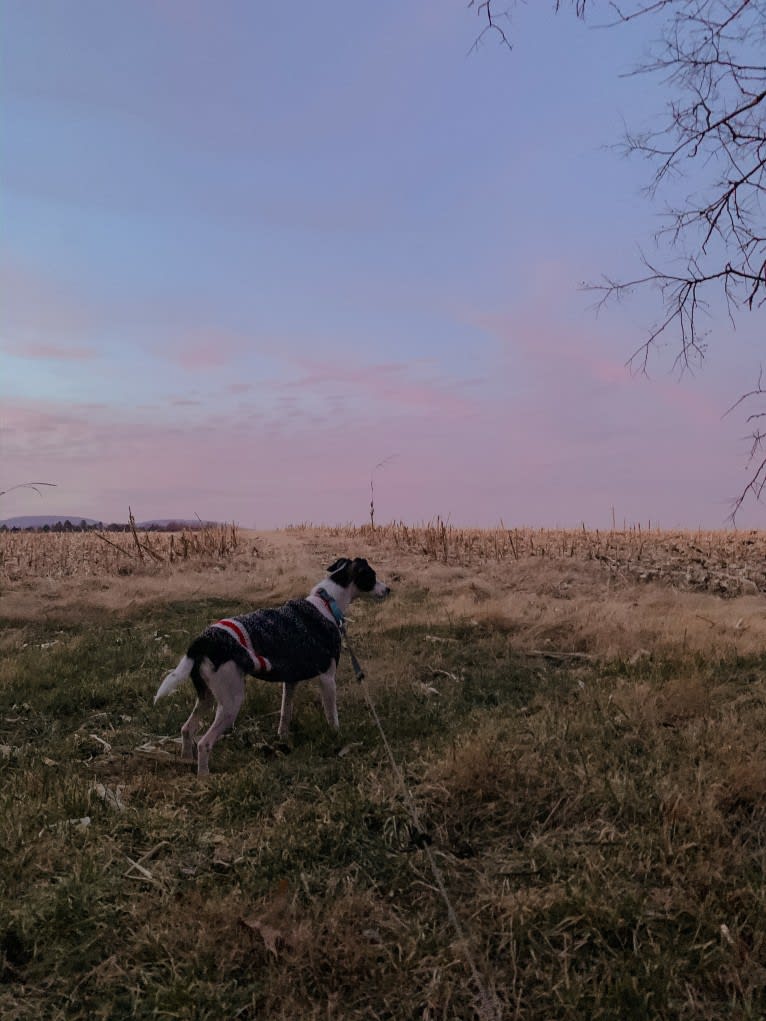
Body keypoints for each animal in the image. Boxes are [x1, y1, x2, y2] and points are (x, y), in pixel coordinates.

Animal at [154, 559, 390, 771]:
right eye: (372, 575)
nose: (388, 589)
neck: (326, 603)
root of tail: (203, 641)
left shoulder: (290, 681)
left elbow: (285, 713)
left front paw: (283, 739)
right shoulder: (327, 679)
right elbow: (332, 716)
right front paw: (337, 737)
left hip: (207, 697)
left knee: (187, 729)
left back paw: (186, 762)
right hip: (231, 703)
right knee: (204, 743)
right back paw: (204, 776)